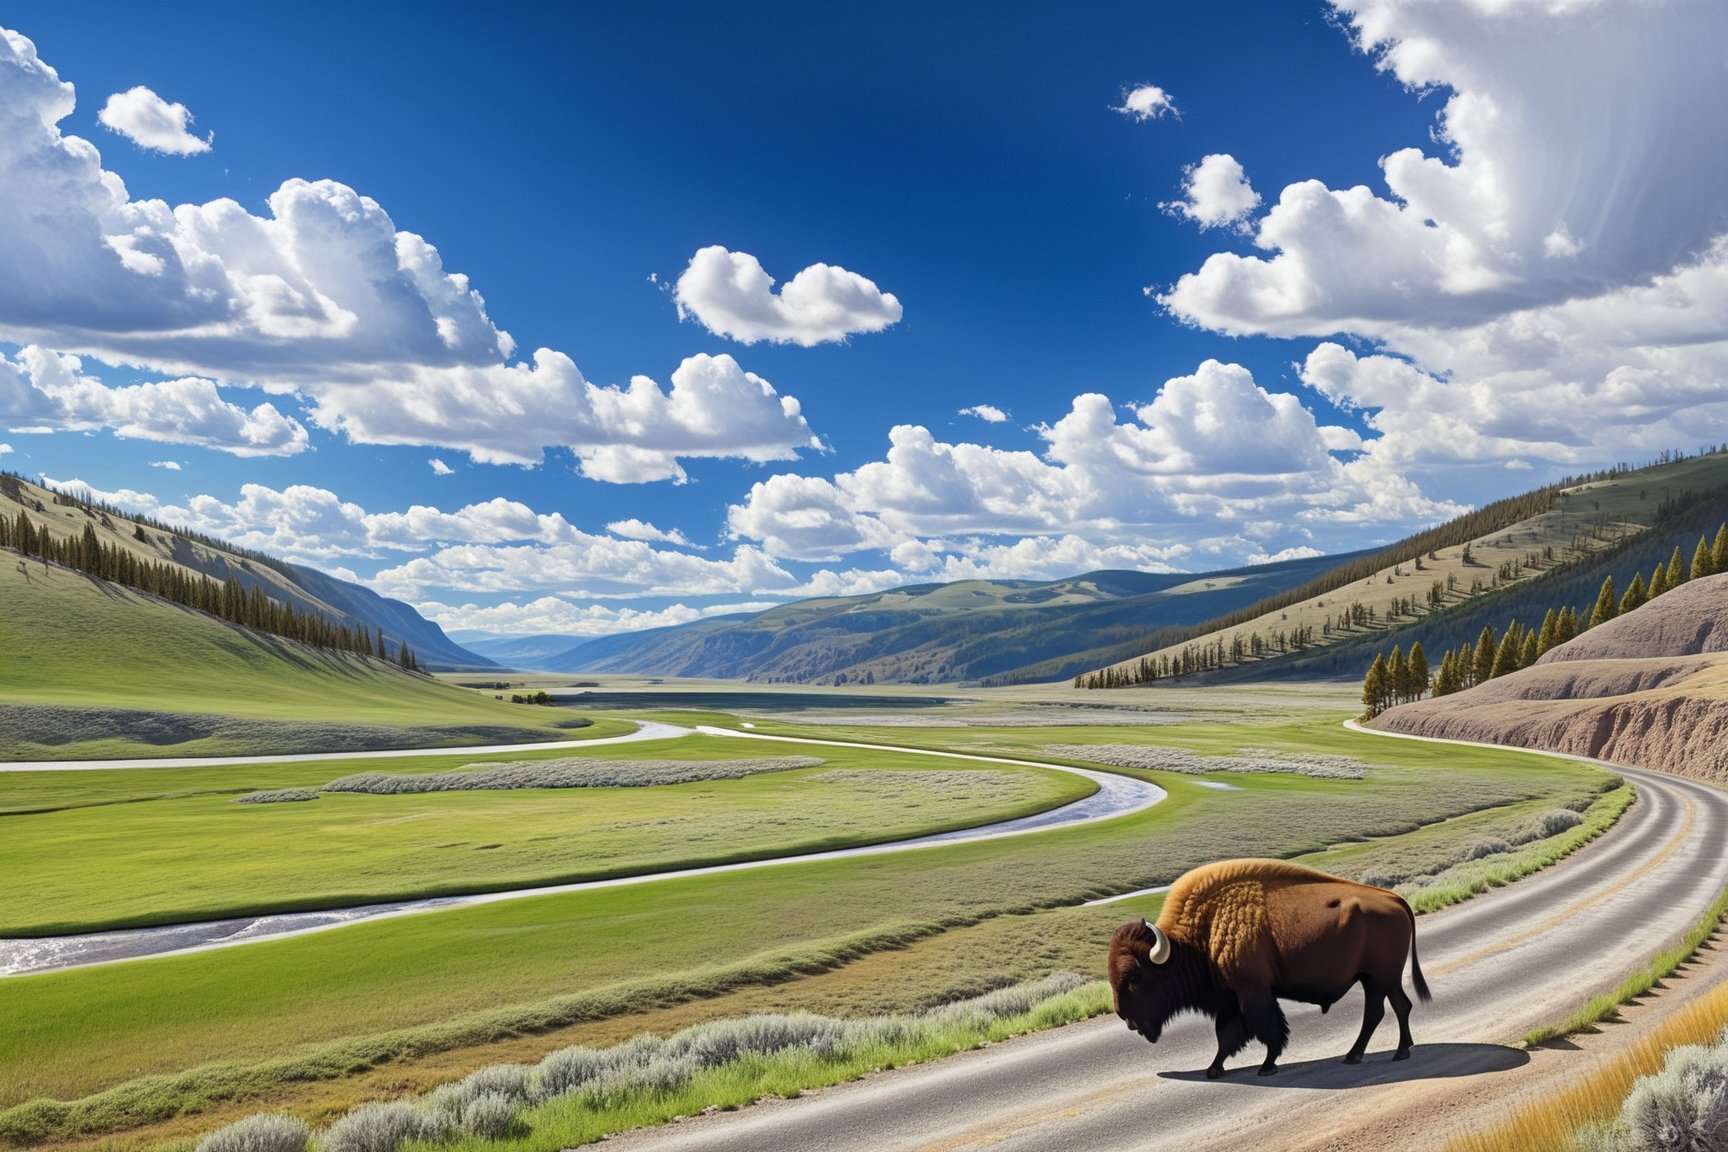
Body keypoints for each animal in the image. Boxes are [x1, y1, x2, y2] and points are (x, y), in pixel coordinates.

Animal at [1105, 860, 1430, 1077]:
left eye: (1136, 977)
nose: (1124, 1016)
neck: (1199, 938)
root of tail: (1395, 899)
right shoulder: (1230, 998)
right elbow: (1226, 1034)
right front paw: (1214, 1069)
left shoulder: (1252, 991)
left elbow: (1265, 1027)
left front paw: (1267, 1066)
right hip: (1380, 979)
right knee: (1397, 1006)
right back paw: (1392, 1052)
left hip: (1377, 979)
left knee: (1380, 1011)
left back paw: (1367, 1054)